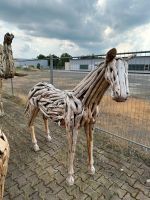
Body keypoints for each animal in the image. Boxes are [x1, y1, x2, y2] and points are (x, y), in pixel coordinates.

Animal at [25, 47, 132, 185]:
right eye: (111, 69)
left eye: (127, 71)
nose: (121, 96)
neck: (85, 101)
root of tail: (37, 84)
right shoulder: (71, 127)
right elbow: (72, 150)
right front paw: (70, 178)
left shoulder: (90, 124)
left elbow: (90, 144)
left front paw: (91, 169)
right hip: (34, 108)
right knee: (30, 124)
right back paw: (35, 145)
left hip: (44, 109)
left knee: (44, 119)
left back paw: (48, 137)